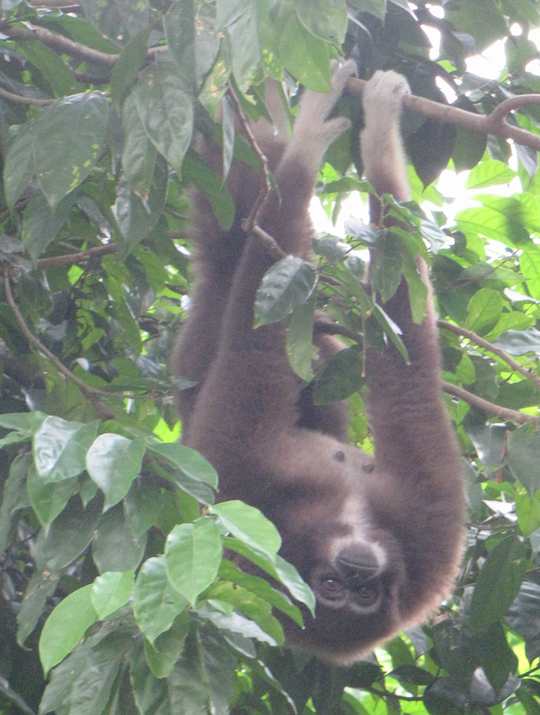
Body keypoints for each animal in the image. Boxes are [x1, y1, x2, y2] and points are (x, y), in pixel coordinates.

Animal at [172, 63, 466, 664]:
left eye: (362, 594)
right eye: (331, 586)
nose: (355, 573)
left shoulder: (430, 533)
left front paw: (366, 140)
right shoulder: (242, 478)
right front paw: (326, 142)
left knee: (235, 249)